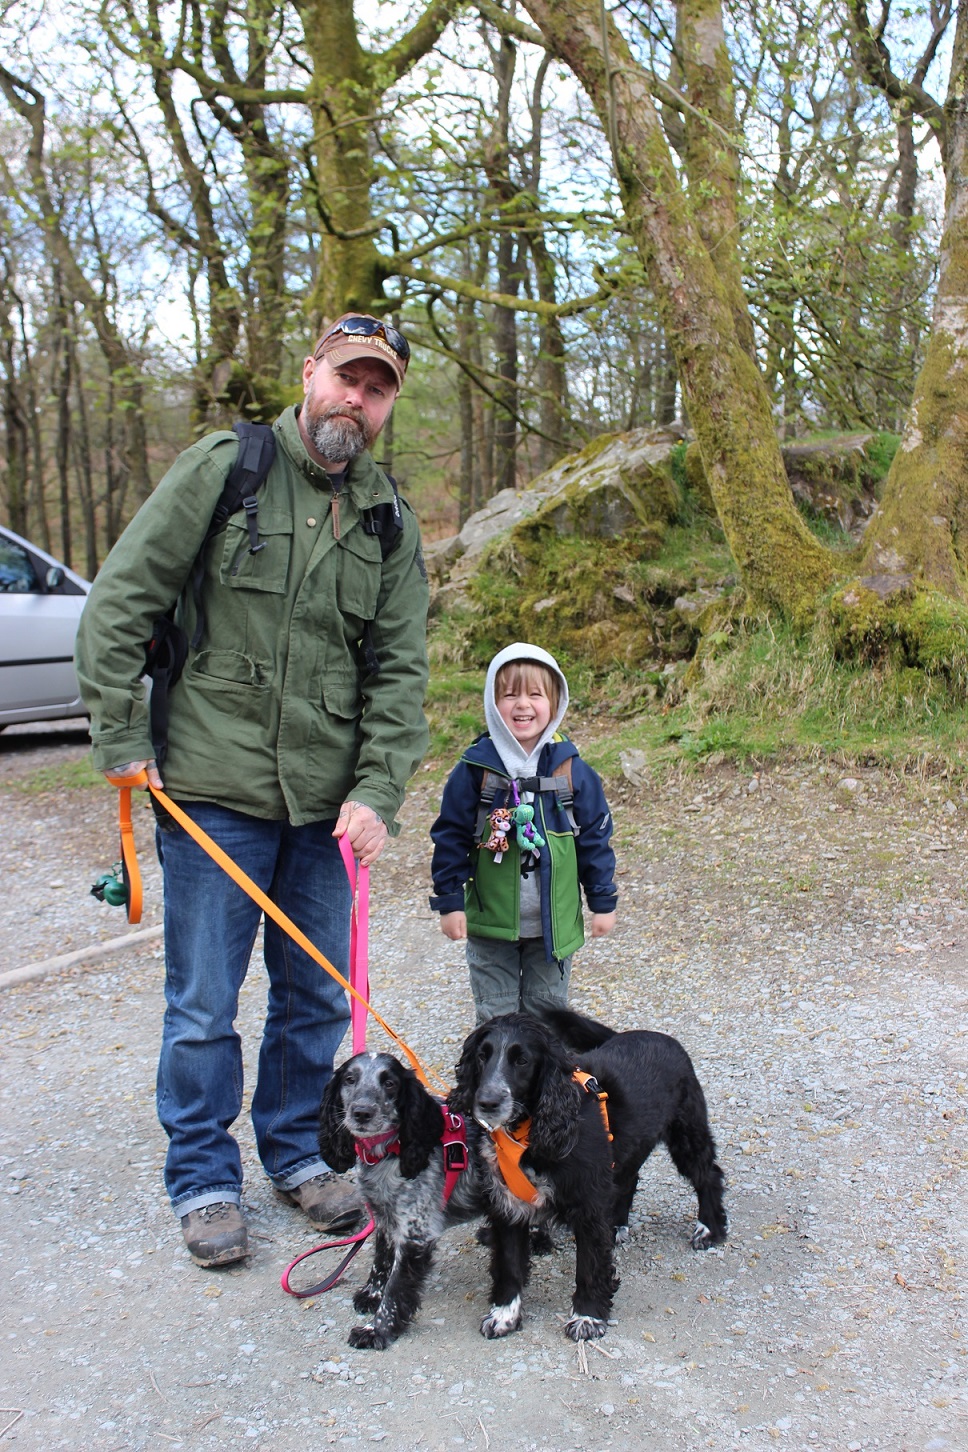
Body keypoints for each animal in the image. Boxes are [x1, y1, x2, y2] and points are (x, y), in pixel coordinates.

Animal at [318, 1052, 487, 1349]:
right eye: (350, 1079)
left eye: (390, 1083)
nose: (362, 1112)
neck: (389, 1152)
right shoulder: (386, 1219)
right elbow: (381, 1261)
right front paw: (371, 1294)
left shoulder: (416, 1232)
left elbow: (396, 1288)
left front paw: (376, 1330)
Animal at [449, 1013, 621, 1341]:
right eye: (482, 1055)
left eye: (522, 1060)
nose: (487, 1102)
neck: (527, 1132)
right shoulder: (507, 1204)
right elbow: (509, 1264)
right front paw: (504, 1314)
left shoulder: (590, 1205)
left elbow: (590, 1265)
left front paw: (587, 1316)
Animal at [535, 1004, 728, 1247]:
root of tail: (664, 1038)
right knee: (628, 1180)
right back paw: (617, 1225)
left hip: (686, 1135)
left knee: (709, 1175)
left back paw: (708, 1229)